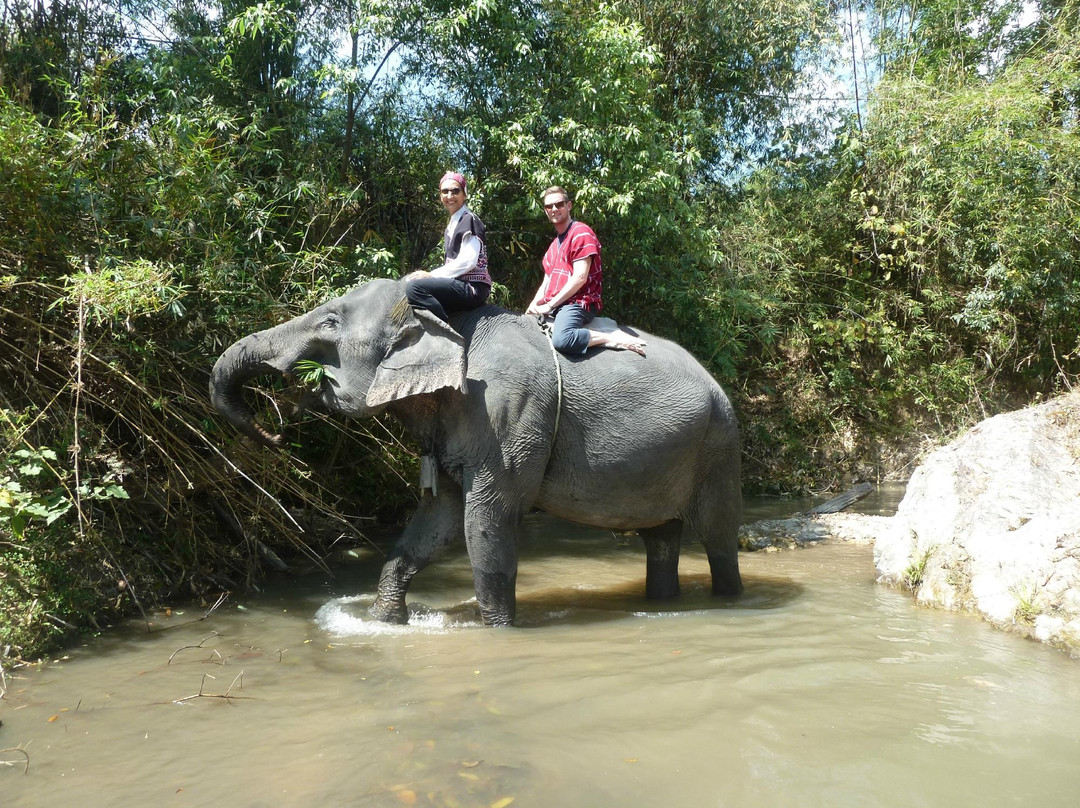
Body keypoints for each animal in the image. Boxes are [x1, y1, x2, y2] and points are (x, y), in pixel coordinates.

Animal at [210, 279, 742, 626]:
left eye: (329, 321)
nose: (277, 435)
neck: (447, 320)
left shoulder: (507, 414)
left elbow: (485, 519)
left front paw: (499, 631)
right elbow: (437, 519)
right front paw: (386, 623)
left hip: (717, 447)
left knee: (718, 538)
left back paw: (729, 602)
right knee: (661, 538)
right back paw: (662, 602)